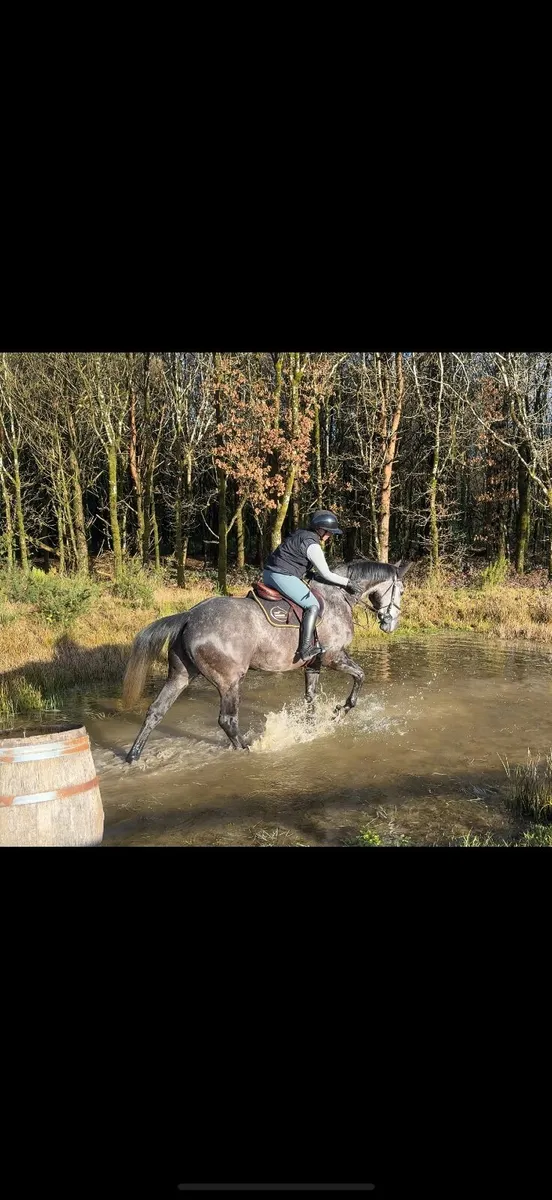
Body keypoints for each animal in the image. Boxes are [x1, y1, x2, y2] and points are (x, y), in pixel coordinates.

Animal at [122, 558, 411, 761]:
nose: (391, 624)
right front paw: (340, 710)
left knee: (156, 711)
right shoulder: (333, 657)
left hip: (181, 674)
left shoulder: (314, 665)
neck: (338, 597)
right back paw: (249, 749)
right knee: (227, 720)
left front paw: (310, 729)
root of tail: (189, 616)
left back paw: (133, 756)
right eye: (401, 591)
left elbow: (310, 699)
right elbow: (360, 676)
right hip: (229, 680)